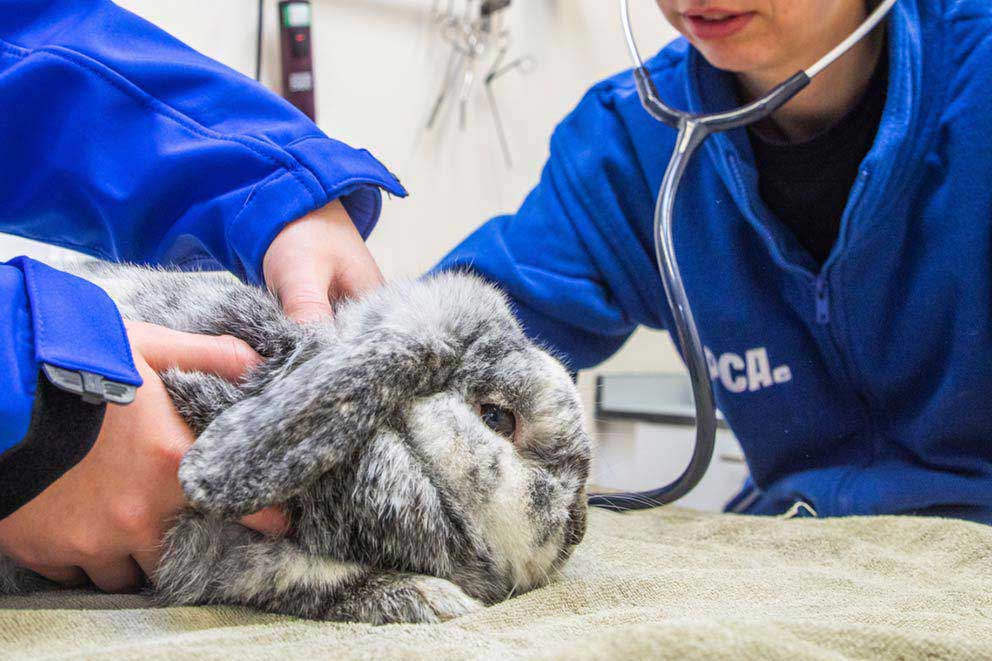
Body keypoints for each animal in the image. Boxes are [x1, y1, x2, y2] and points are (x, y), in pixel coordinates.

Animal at [0, 261, 591, 624]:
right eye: (497, 417)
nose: (576, 527)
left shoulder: (228, 560)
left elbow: (320, 582)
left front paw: (429, 599)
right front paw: (441, 601)